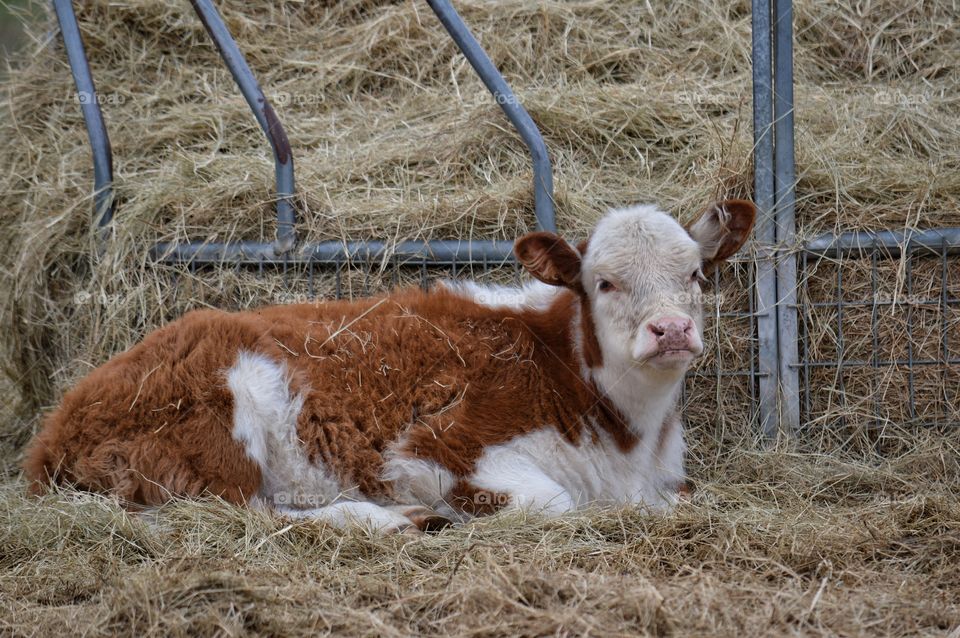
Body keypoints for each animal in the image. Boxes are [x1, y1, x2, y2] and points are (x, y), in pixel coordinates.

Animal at [24, 200, 755, 533]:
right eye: (604, 282)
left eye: (696, 275)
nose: (671, 330)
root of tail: (53, 431)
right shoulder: (432, 450)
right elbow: (551, 500)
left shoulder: (663, 479)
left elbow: (684, 496)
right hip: (214, 431)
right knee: (238, 513)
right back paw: (394, 519)